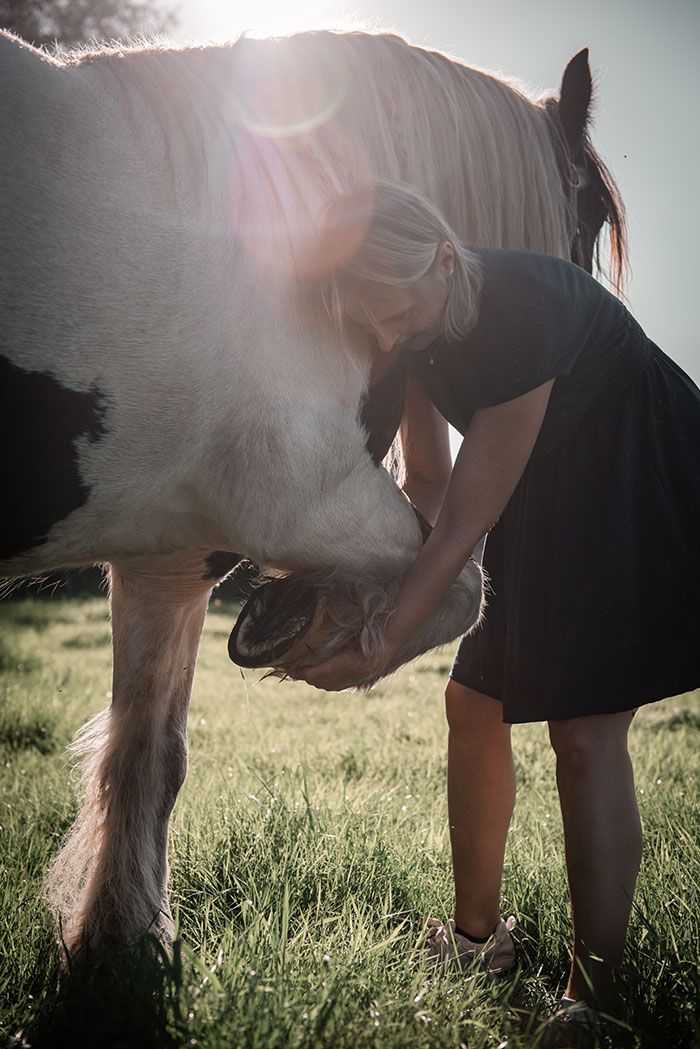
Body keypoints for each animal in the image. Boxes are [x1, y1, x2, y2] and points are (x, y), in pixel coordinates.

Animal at [0, 28, 625, 956]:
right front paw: (311, 624)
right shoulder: (303, 498)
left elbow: (149, 749)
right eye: (589, 225)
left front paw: (121, 942)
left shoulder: (168, 560)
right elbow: (461, 586)